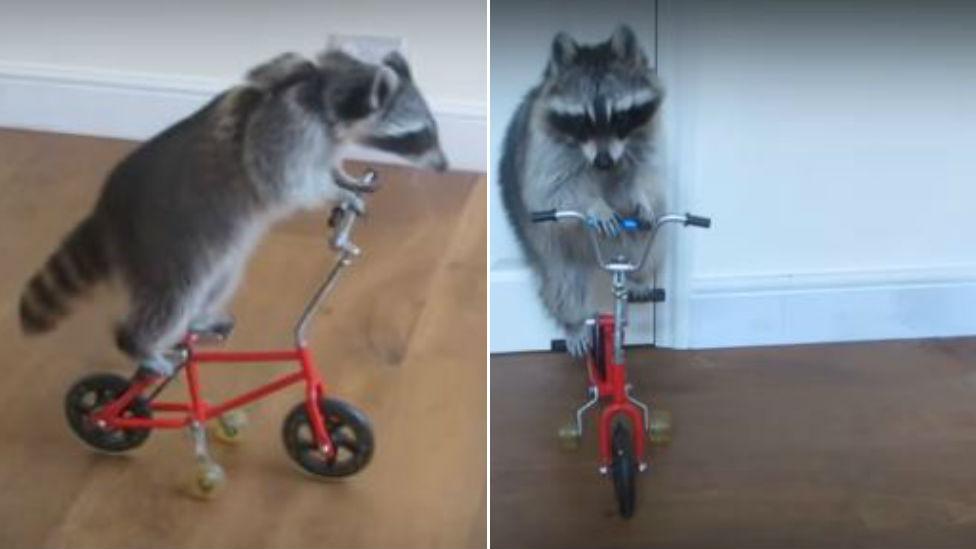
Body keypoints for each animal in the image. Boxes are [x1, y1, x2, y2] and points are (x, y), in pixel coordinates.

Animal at [20, 48, 446, 372]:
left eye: (432, 128)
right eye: (419, 133)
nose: (444, 167)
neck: (326, 90)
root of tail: (108, 209)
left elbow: (324, 164)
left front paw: (344, 178)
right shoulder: (286, 131)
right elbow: (288, 183)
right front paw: (333, 192)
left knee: (218, 281)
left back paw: (200, 316)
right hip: (163, 248)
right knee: (173, 297)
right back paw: (140, 345)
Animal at [500, 24, 668, 356]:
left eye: (620, 116)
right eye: (581, 121)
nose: (603, 161)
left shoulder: (646, 134)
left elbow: (646, 174)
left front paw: (642, 197)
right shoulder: (544, 149)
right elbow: (553, 189)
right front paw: (595, 206)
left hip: (634, 238)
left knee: (648, 245)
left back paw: (637, 280)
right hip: (541, 238)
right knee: (564, 281)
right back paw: (575, 322)